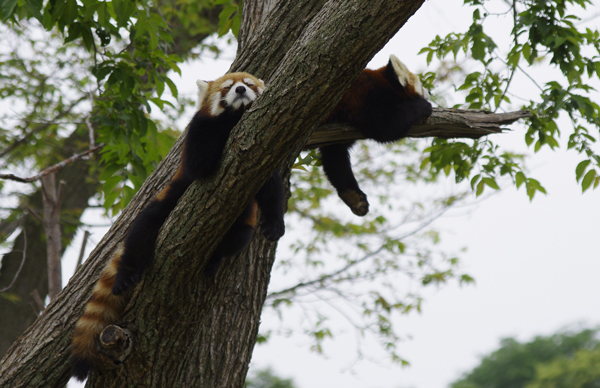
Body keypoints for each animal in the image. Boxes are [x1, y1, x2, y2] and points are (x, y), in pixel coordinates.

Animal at [70, 71, 286, 380]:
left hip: (240, 226)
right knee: (142, 228)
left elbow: (272, 191)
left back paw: (214, 260)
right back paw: (126, 275)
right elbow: (202, 165)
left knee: (240, 236)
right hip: (167, 199)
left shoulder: (268, 151)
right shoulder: (199, 135)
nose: (241, 91)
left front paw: (274, 225)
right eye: (227, 87)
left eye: (249, 84)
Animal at [322, 55, 434, 215]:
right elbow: (385, 127)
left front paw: (354, 197)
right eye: (420, 84)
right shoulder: (367, 96)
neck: (388, 85)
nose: (430, 91)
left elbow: (335, 157)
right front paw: (422, 106)